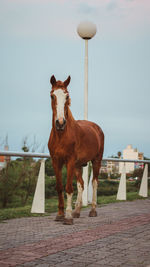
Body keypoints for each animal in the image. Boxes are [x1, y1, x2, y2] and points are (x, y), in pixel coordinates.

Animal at [48, 76, 104, 226]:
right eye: (52, 95)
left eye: (67, 96)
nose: (60, 123)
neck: (61, 135)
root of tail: (97, 128)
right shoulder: (56, 161)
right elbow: (59, 187)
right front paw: (60, 214)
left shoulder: (70, 161)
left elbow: (68, 188)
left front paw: (67, 217)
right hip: (79, 166)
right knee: (81, 185)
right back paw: (77, 211)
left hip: (96, 161)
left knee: (94, 182)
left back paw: (93, 210)